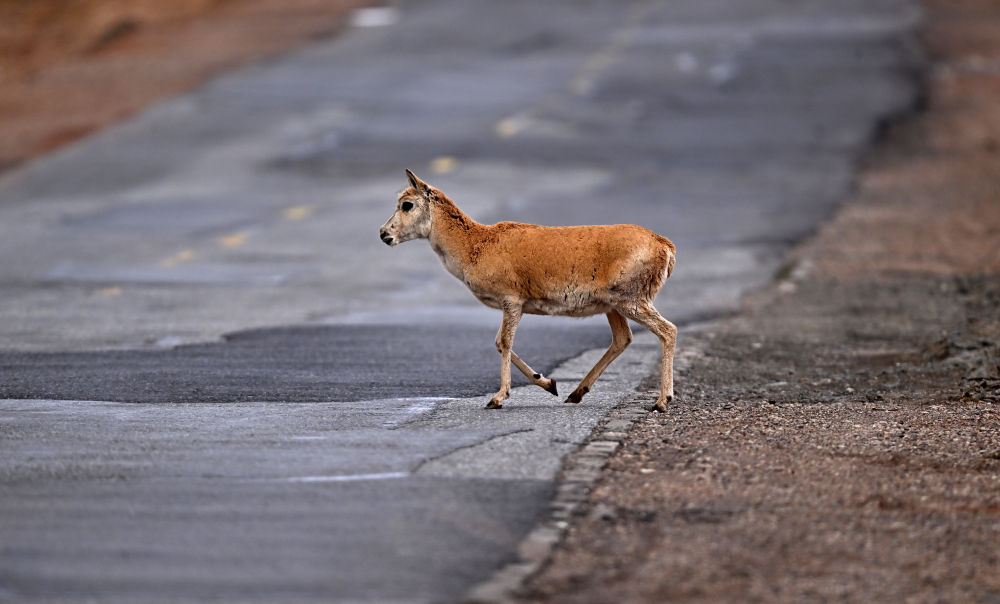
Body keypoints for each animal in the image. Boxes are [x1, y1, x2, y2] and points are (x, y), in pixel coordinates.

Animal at [378, 172, 676, 412]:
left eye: (407, 204)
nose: (383, 233)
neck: (475, 245)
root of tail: (666, 246)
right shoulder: (514, 305)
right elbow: (499, 343)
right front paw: (549, 383)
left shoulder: (511, 300)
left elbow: (504, 341)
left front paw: (497, 398)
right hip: (614, 305)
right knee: (623, 338)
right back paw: (575, 393)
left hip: (630, 300)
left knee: (667, 330)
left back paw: (662, 401)